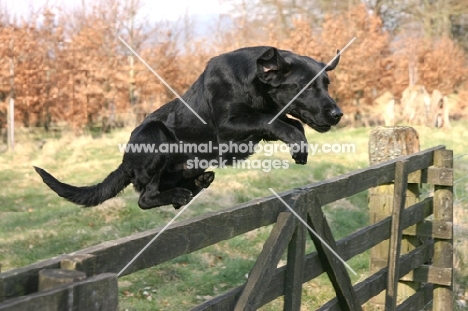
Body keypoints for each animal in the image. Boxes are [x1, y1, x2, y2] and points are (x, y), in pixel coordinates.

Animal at [34, 45, 342, 210]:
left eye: (326, 84)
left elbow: (290, 122)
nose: (338, 114)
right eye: (305, 86)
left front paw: (300, 147)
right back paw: (181, 192)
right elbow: (272, 121)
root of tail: (125, 162)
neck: (252, 82)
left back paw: (196, 184)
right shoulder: (228, 128)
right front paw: (298, 147)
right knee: (145, 197)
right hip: (156, 135)